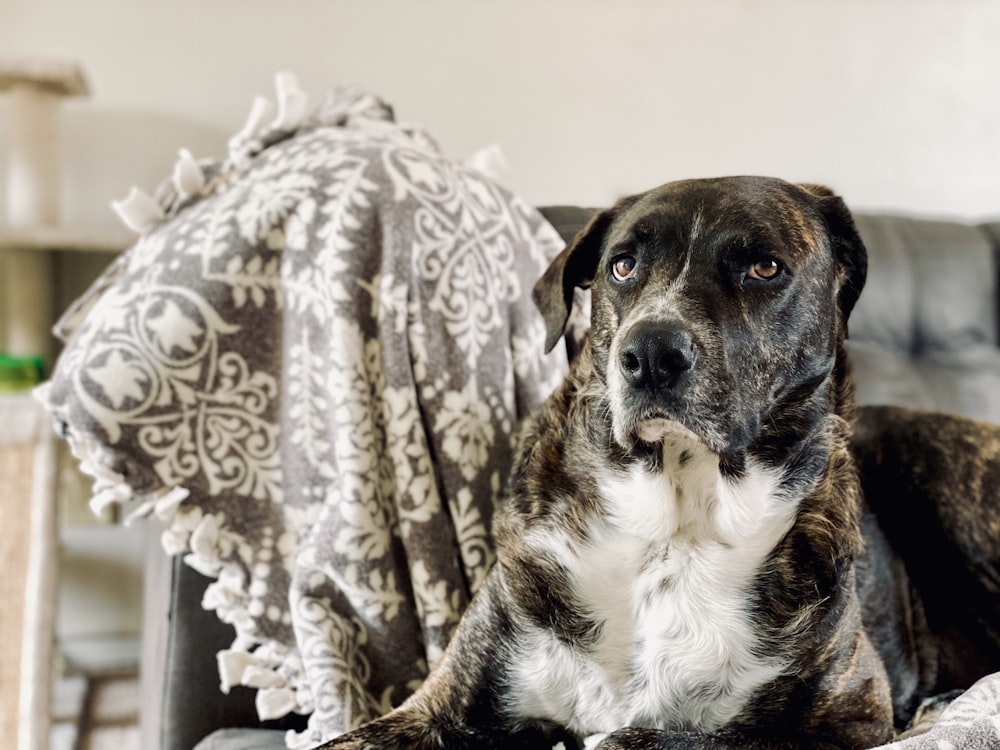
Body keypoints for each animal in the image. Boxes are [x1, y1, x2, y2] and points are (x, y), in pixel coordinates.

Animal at [316, 178, 1000, 750]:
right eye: (622, 266)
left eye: (764, 267)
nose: (648, 353)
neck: (676, 520)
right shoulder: (436, 710)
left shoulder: (849, 720)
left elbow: (673, 740)